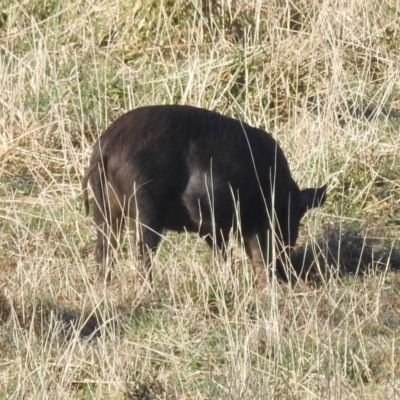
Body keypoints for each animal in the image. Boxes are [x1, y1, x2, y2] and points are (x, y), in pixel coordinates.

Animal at [82, 105, 328, 288]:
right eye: (295, 220)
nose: (289, 274)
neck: (282, 193)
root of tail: (106, 147)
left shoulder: (213, 227)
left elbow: (224, 254)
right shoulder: (255, 218)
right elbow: (258, 253)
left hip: (102, 207)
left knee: (104, 249)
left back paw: (103, 289)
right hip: (145, 204)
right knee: (142, 252)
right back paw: (147, 291)